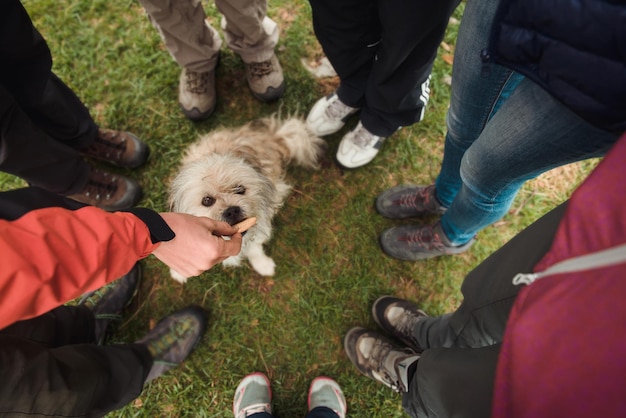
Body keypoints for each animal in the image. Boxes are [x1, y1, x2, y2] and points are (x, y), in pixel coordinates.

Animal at [168, 116, 324, 282]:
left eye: (240, 189)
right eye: (207, 200)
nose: (232, 211)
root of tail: (270, 138)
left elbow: (255, 247)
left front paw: (262, 264)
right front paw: (179, 268)